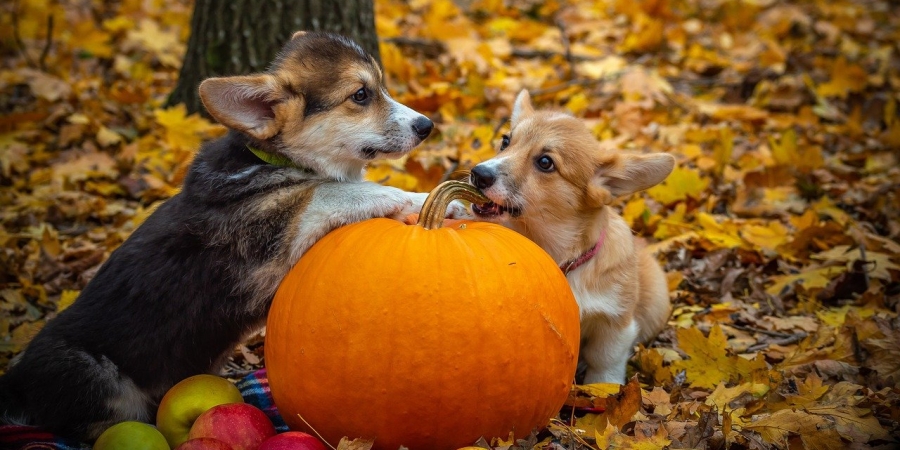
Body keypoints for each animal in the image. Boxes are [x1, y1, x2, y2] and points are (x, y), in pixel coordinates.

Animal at [0, 31, 464, 440]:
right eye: (361, 95)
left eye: (380, 87)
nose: (427, 125)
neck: (272, 160)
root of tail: (13, 386)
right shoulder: (277, 233)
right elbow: (334, 191)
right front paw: (424, 198)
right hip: (93, 374)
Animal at [468, 90, 672, 384]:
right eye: (506, 141)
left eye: (545, 162)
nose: (477, 174)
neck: (556, 250)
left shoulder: (615, 322)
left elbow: (605, 361)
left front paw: (604, 389)